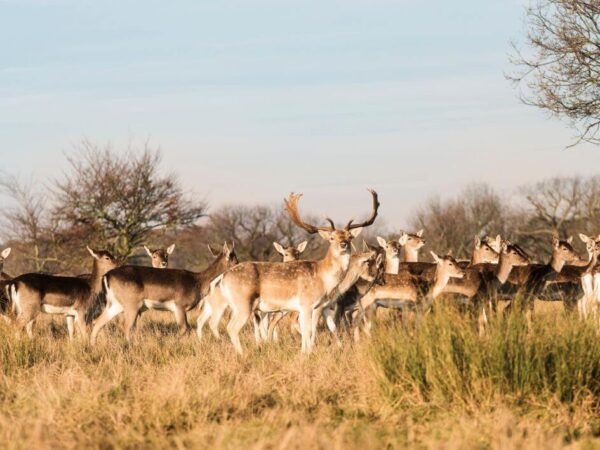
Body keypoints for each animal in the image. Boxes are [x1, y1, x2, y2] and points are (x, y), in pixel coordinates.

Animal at [91, 243, 237, 344]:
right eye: (234, 259)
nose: (240, 266)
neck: (198, 282)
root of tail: (107, 276)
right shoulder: (180, 306)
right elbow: (185, 328)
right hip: (131, 305)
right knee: (126, 326)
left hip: (115, 304)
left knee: (98, 322)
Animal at [213, 188, 378, 354]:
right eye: (331, 238)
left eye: (350, 236)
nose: (343, 244)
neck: (322, 277)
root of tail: (223, 277)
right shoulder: (306, 304)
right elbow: (308, 330)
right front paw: (306, 354)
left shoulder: (318, 306)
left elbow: (313, 329)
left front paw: (306, 352)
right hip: (243, 303)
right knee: (232, 327)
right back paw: (243, 354)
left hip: (237, 306)